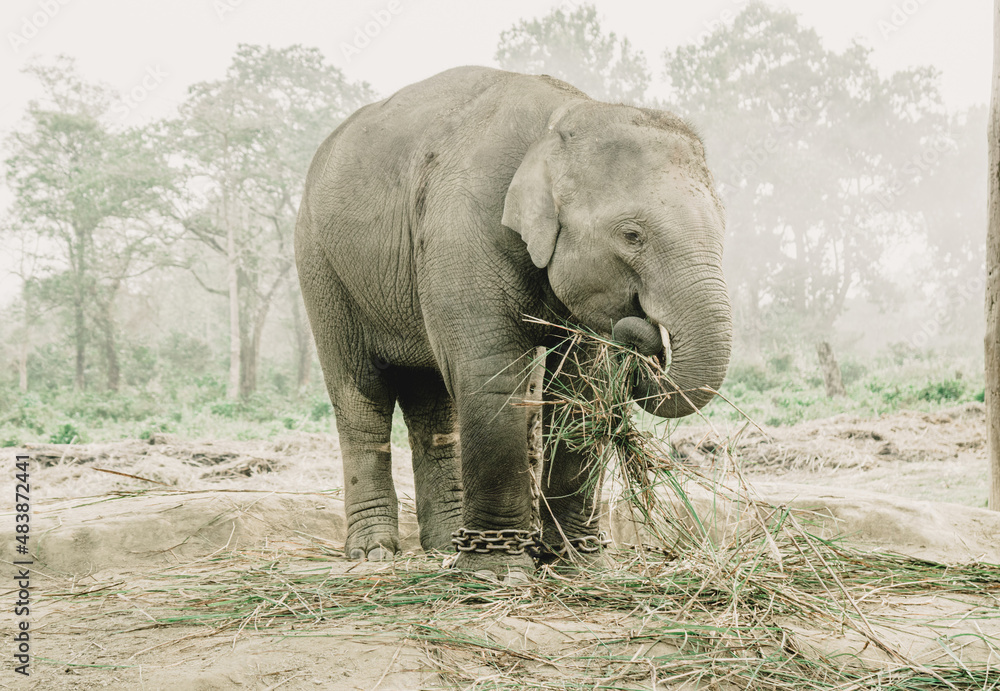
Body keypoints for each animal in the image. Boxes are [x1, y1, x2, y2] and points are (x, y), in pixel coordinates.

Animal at [295, 66, 732, 576]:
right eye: (632, 235)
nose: (644, 335)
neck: (559, 121)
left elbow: (582, 389)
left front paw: (578, 564)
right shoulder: (463, 228)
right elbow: (494, 376)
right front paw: (496, 572)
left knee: (433, 403)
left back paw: (443, 545)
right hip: (322, 267)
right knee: (361, 396)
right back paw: (373, 553)